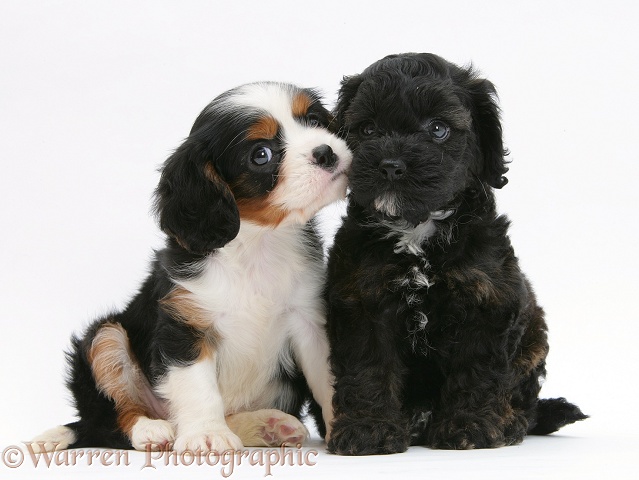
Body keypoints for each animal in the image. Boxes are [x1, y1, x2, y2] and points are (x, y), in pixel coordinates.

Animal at [31, 82, 350, 454]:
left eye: (314, 121)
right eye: (261, 155)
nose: (325, 152)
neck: (258, 243)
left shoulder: (309, 319)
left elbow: (328, 378)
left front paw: (346, 426)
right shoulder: (184, 324)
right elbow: (199, 388)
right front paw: (207, 434)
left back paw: (268, 426)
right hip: (105, 337)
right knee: (111, 420)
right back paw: (152, 429)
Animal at [328, 53, 588, 454]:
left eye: (438, 129)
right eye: (368, 130)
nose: (390, 165)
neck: (417, 230)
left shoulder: (487, 298)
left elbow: (477, 368)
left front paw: (469, 427)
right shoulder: (361, 299)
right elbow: (369, 366)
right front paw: (368, 429)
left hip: (534, 337)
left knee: (525, 398)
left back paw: (511, 422)